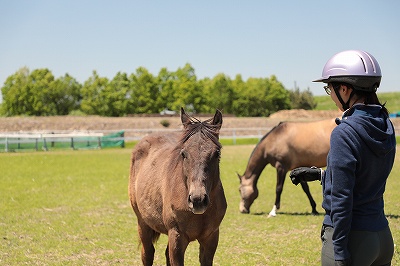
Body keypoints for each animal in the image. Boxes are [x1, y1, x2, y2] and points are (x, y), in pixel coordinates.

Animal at [129, 108, 227, 266]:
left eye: (217, 153)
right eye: (183, 153)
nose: (198, 200)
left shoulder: (211, 237)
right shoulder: (177, 236)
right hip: (143, 223)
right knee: (147, 253)